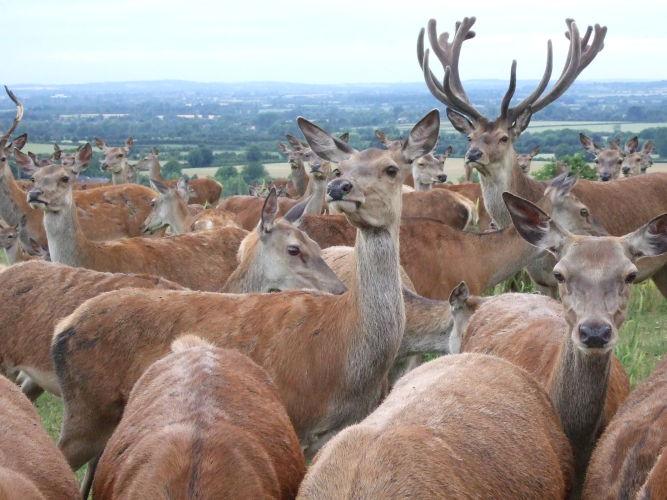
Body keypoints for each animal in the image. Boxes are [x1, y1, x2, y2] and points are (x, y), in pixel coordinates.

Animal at [51, 110, 440, 483]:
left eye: (391, 168)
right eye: (340, 168)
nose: (338, 187)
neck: (348, 354)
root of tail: (62, 327)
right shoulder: (295, 420)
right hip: (85, 414)